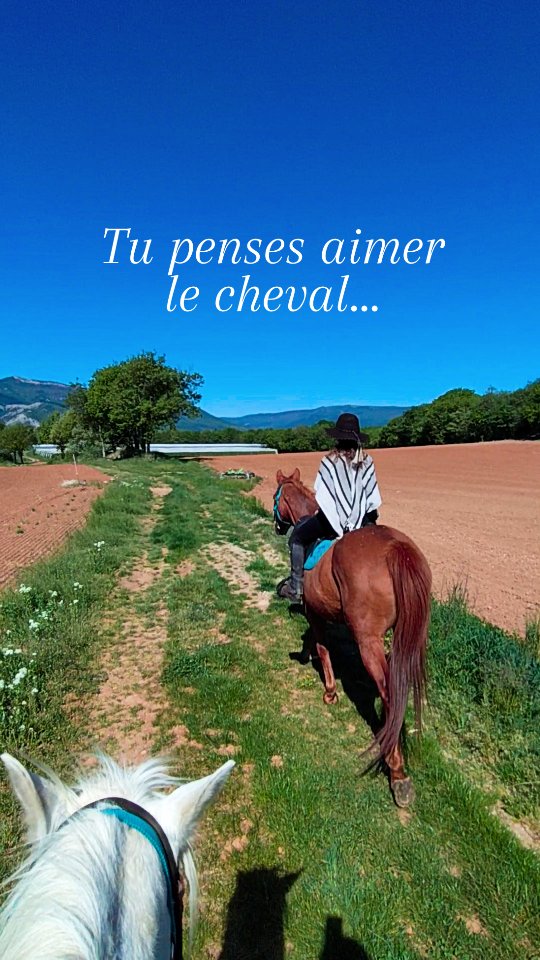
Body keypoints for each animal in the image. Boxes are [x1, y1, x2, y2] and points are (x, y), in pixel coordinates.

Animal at [274, 468, 431, 807]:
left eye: (276, 497)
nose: (277, 526)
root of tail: (395, 548)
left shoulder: (314, 612)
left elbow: (321, 647)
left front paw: (330, 691)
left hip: (370, 642)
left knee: (389, 693)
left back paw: (397, 772)